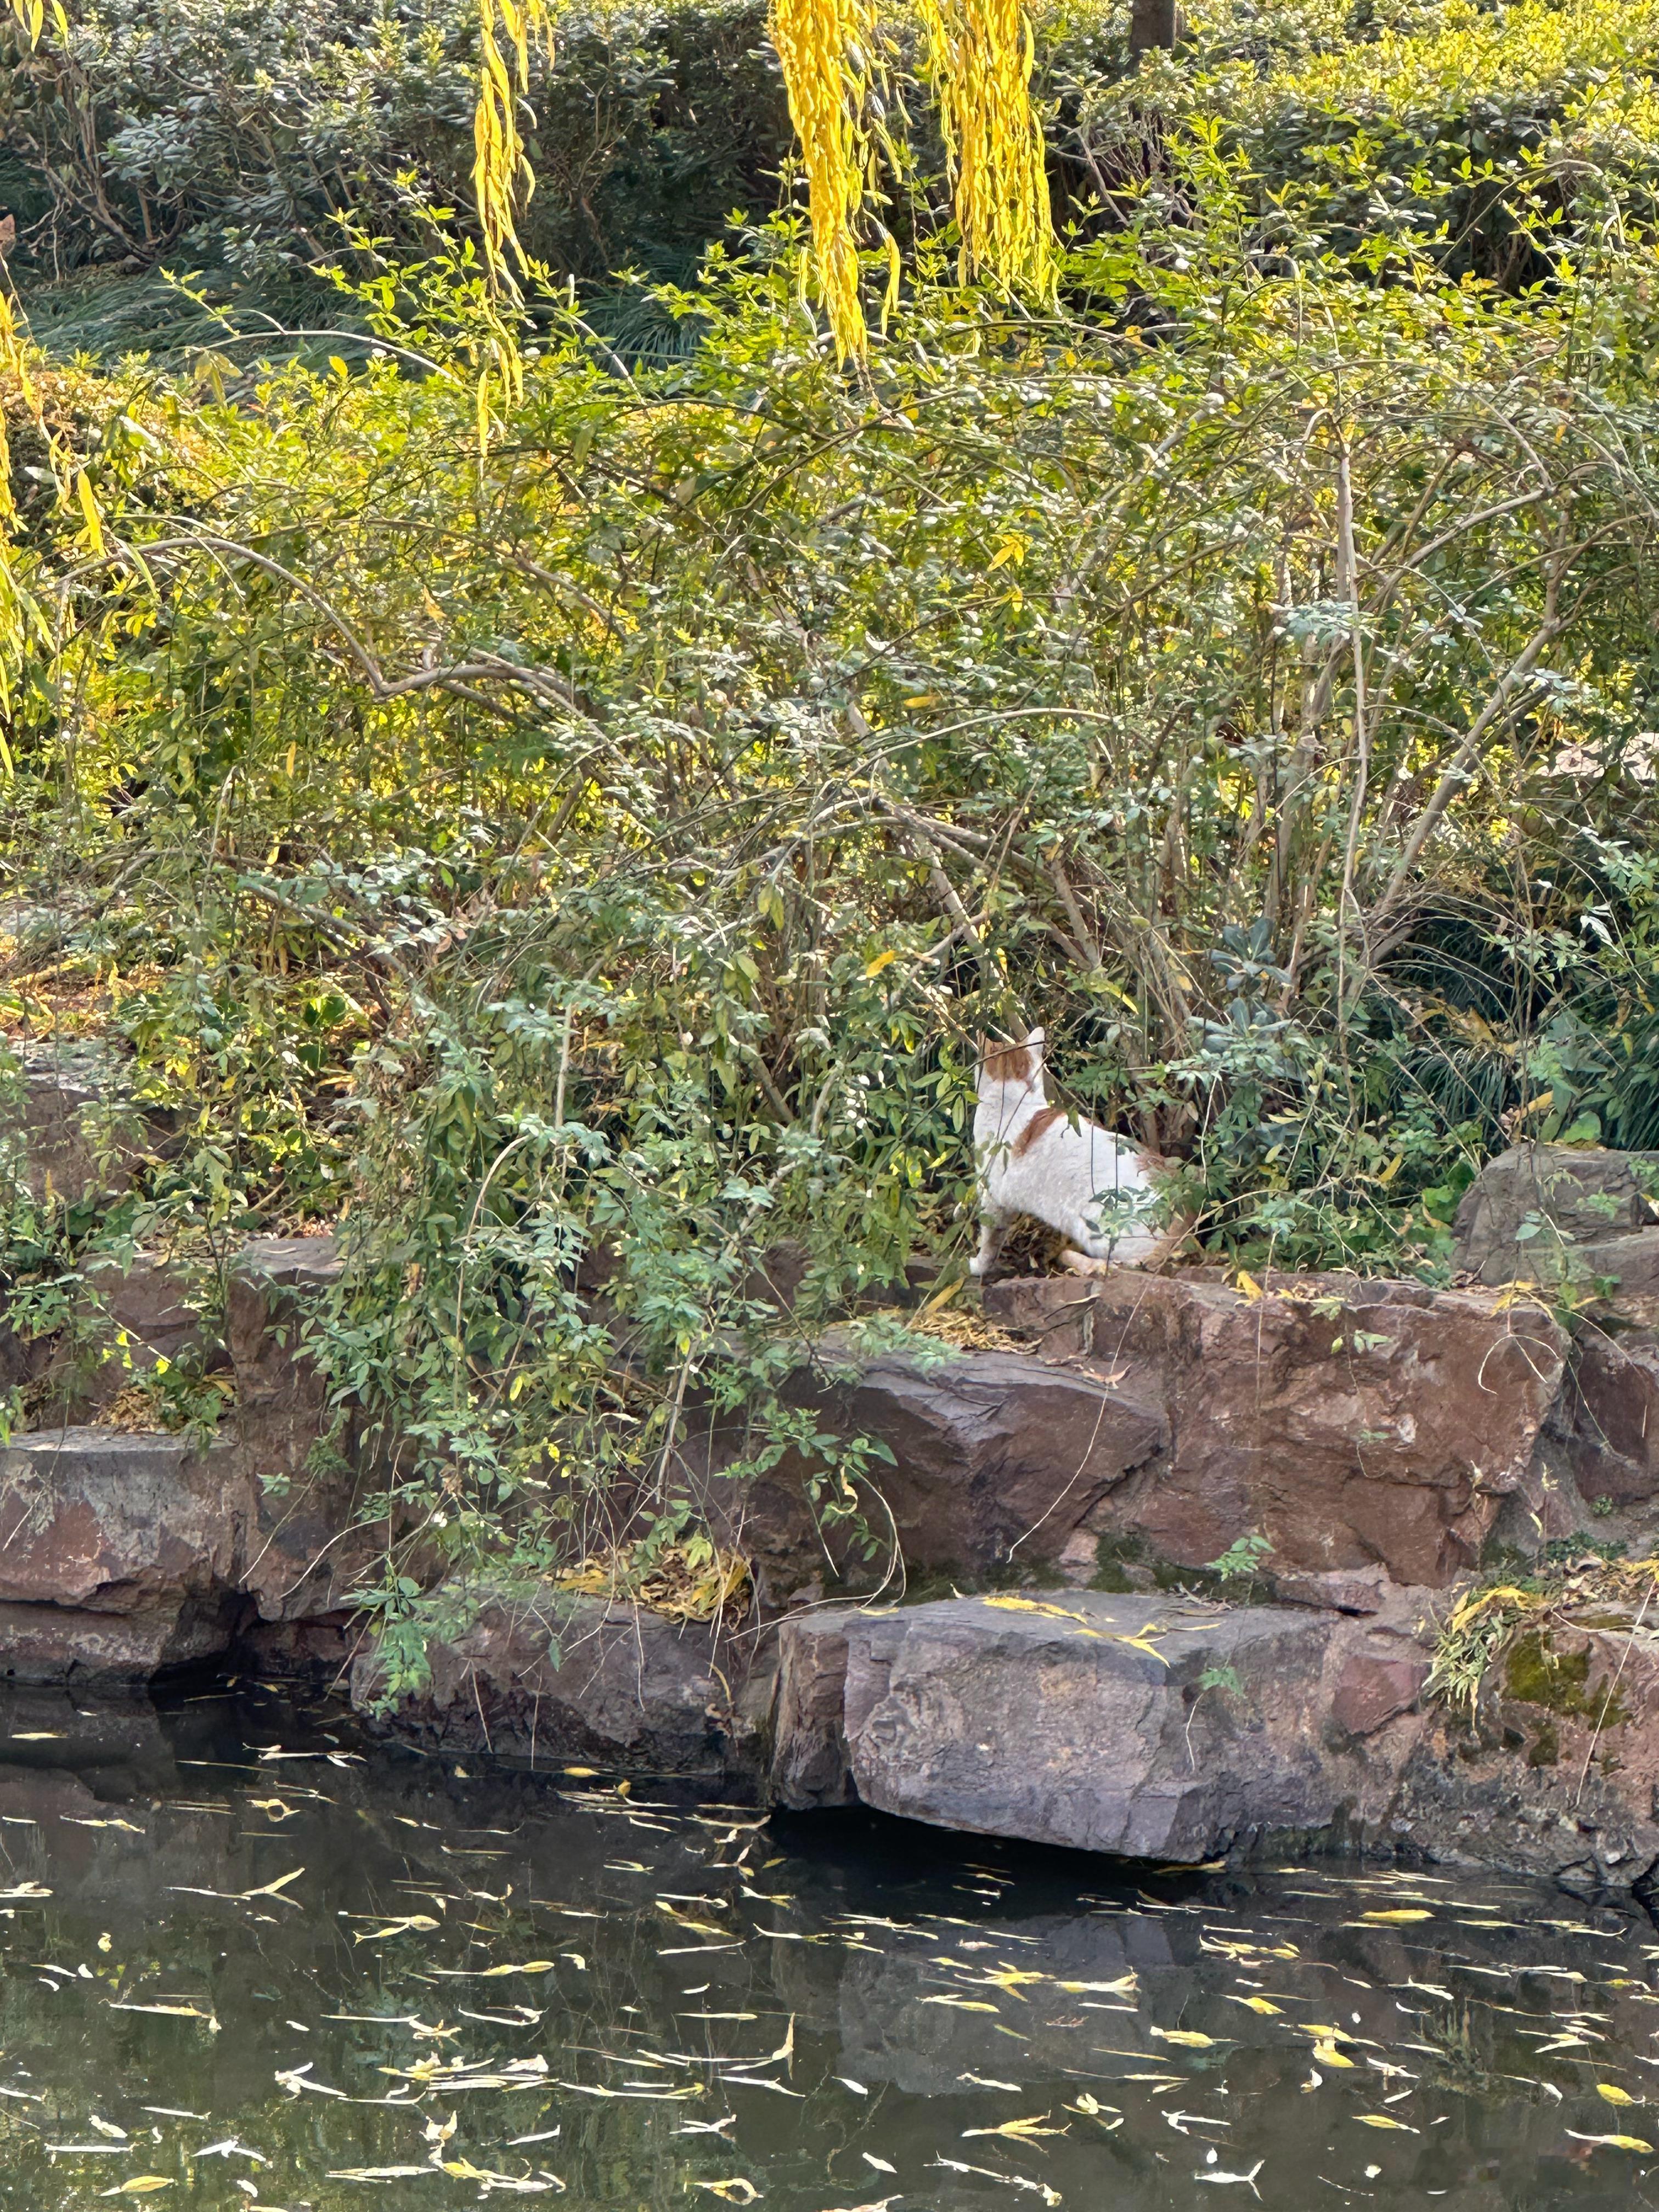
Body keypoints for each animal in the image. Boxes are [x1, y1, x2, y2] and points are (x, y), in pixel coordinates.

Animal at [969, 1030, 1186, 1283]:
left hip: (1095, 1226)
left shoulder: (992, 1199)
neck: (1012, 1100)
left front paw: (977, 1266)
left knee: (1125, 1265)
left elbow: (989, 1244)